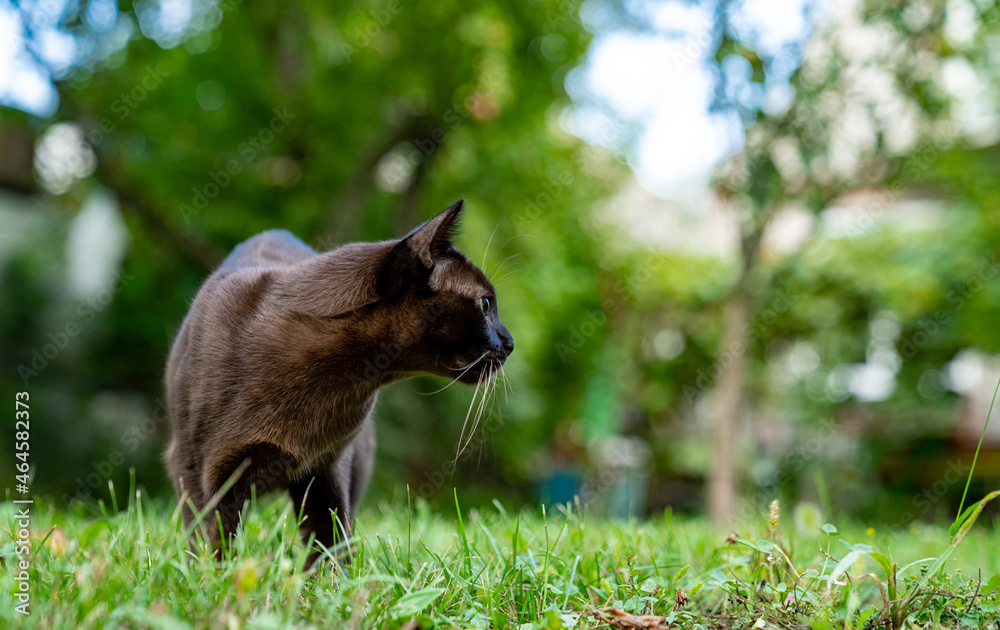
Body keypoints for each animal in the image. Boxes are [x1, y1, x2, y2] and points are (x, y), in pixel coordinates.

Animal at [162, 200, 516, 564]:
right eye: (486, 304)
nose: (510, 343)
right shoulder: (200, 473)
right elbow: (212, 546)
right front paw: (216, 578)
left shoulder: (327, 469)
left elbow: (331, 545)